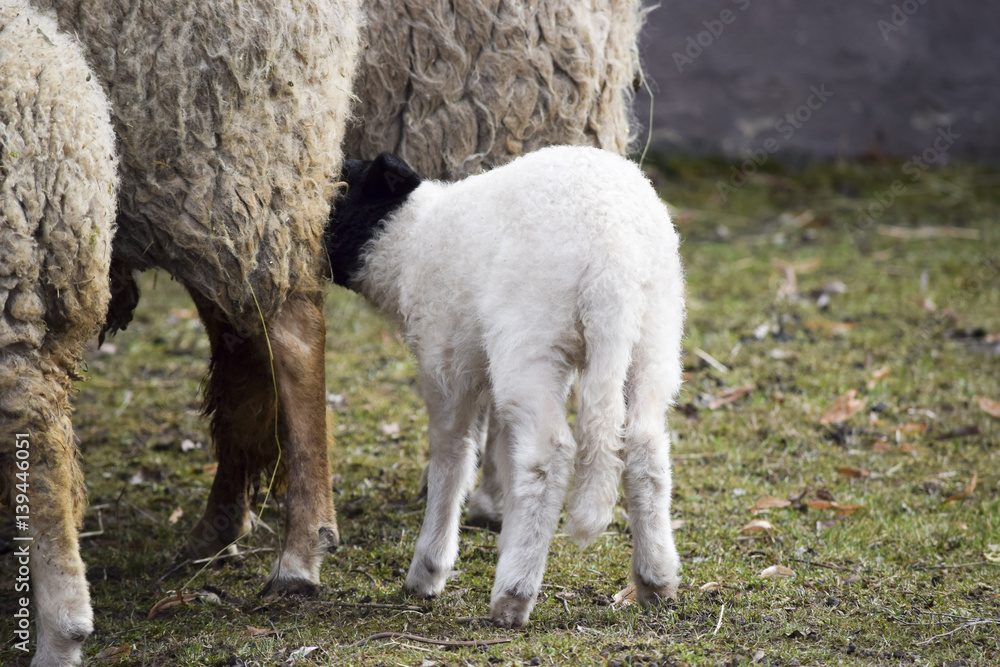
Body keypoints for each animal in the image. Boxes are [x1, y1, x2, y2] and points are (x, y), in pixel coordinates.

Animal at [325, 146, 685, 628]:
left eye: (338, 195)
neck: (408, 243)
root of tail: (614, 260)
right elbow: (501, 448)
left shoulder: (446, 365)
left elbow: (453, 456)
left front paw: (429, 570)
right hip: (654, 335)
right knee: (646, 447)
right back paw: (655, 581)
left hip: (531, 339)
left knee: (548, 457)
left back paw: (513, 595)